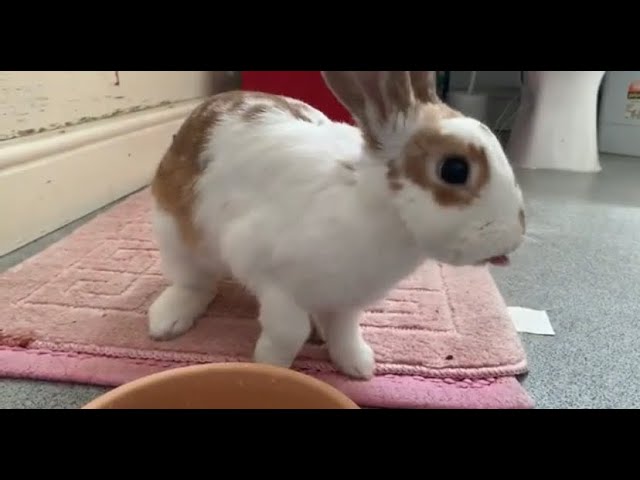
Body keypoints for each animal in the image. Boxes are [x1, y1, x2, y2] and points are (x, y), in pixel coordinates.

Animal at [149, 71, 524, 378]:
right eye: (455, 169)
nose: (512, 240)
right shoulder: (268, 276)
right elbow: (289, 331)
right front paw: (270, 364)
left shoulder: (348, 300)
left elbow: (346, 332)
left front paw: (358, 366)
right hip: (176, 240)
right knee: (197, 284)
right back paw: (167, 321)